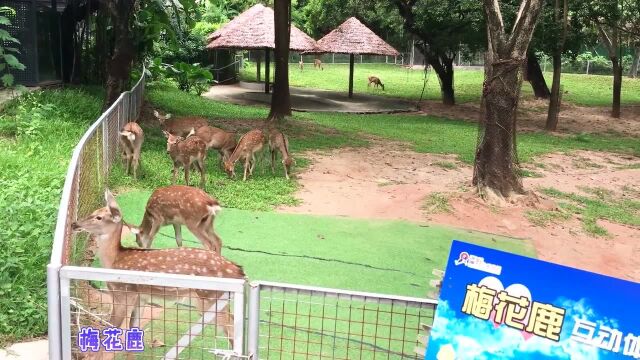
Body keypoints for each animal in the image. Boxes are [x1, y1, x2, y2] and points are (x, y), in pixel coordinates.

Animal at [70, 190, 245, 348]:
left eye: (99, 217)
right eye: (94, 212)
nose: (74, 224)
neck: (114, 259)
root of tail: (239, 272)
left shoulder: (123, 294)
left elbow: (111, 327)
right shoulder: (141, 298)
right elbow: (134, 327)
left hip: (209, 297)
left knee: (231, 329)